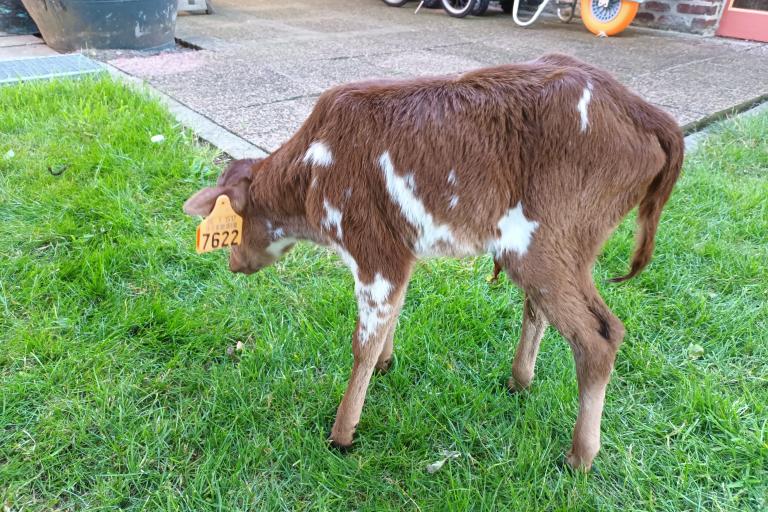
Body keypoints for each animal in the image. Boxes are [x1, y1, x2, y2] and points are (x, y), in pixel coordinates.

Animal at [184, 54, 684, 470]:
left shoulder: (372, 246)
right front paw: (386, 364)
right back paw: (519, 381)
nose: (234, 264)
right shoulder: (401, 252)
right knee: (540, 309)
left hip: (551, 240)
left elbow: (362, 341)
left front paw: (342, 434)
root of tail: (648, 113)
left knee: (600, 336)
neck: (309, 178)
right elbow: (392, 317)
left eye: (231, 224)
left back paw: (580, 457)